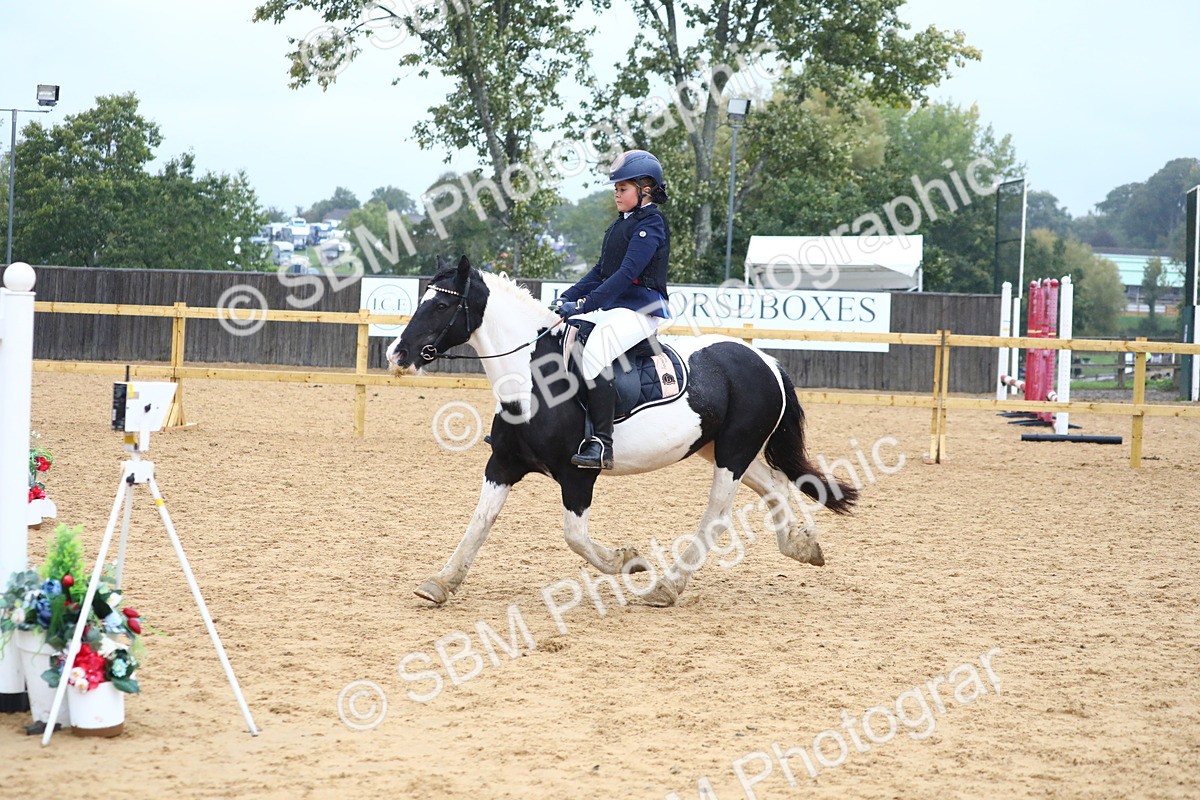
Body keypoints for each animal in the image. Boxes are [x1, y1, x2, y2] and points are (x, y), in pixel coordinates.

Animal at [386, 256, 857, 607]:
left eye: (441, 306)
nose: (398, 353)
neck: (533, 379)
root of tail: (765, 360)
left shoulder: (578, 474)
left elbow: (575, 537)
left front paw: (629, 562)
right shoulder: (503, 463)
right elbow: (480, 522)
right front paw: (440, 582)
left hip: (733, 452)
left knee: (718, 515)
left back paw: (667, 587)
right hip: (720, 447)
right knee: (775, 484)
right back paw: (802, 547)